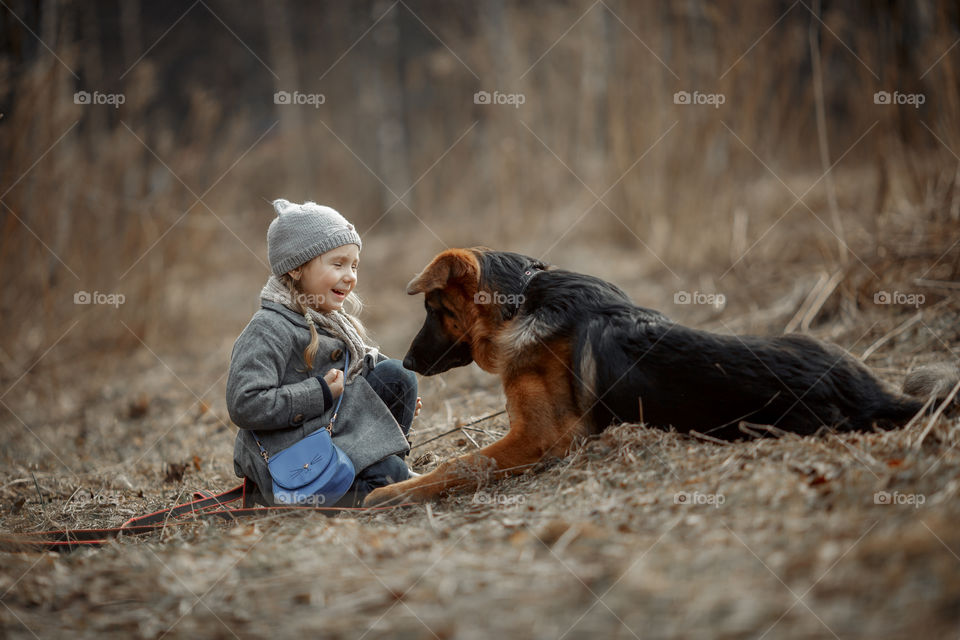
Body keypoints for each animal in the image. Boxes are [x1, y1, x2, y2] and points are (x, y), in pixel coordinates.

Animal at [362, 249, 960, 504]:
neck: (522, 299)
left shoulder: (543, 436)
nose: (407, 364)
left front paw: (394, 493)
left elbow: (461, 465)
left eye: (435, 310)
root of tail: (869, 395)